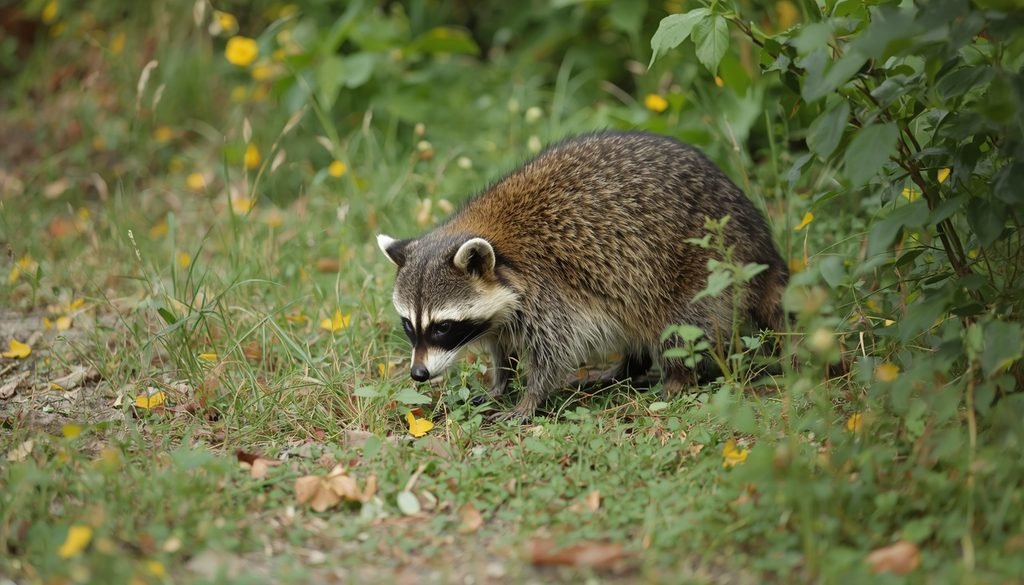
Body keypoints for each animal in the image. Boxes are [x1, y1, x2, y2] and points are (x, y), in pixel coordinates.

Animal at [377, 131, 787, 420]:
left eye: (443, 327)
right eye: (409, 325)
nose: (418, 374)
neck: (499, 251)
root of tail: (760, 239)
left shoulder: (547, 290)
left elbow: (556, 350)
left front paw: (531, 397)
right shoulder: (503, 311)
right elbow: (502, 346)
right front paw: (500, 382)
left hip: (703, 268)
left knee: (680, 326)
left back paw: (676, 377)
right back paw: (628, 367)